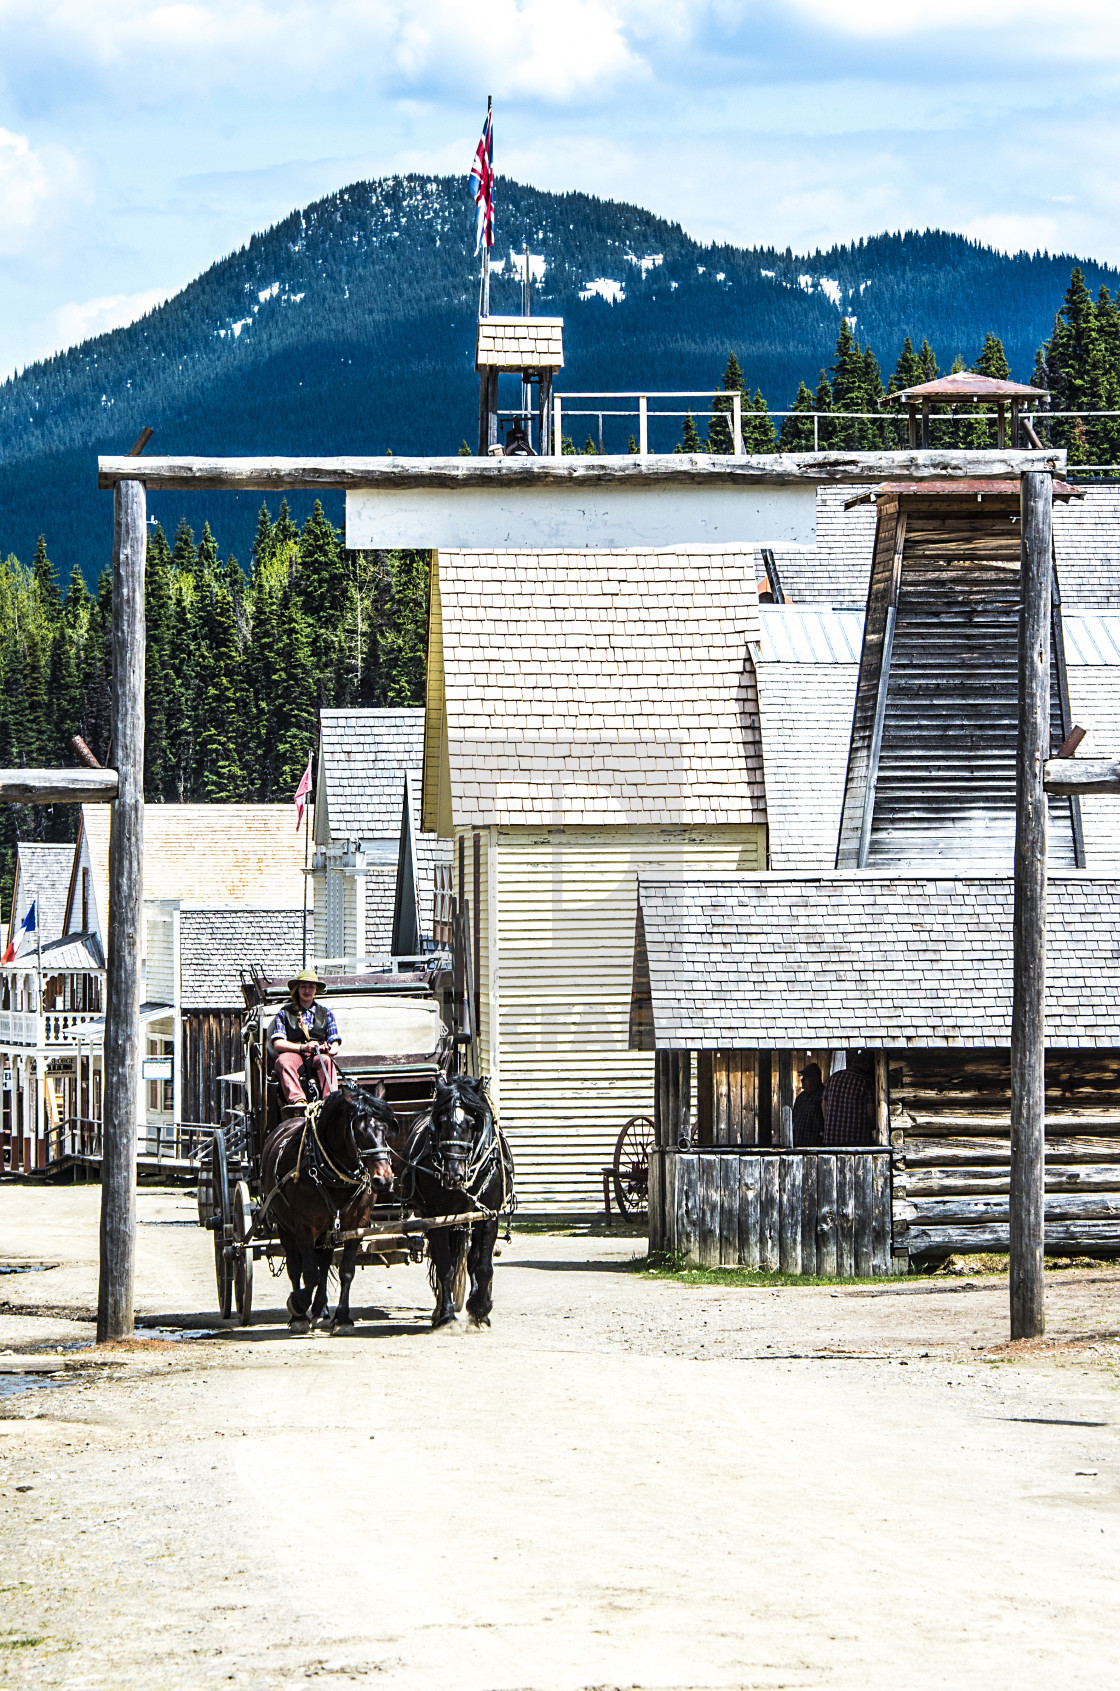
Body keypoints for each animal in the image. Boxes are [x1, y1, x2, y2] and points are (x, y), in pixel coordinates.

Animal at [260, 1082, 397, 1332]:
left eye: (386, 1129)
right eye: (359, 1132)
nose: (383, 1180)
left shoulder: (357, 1225)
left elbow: (345, 1271)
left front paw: (342, 1318)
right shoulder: (303, 1228)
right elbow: (309, 1273)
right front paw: (297, 1305)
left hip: (327, 1231)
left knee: (323, 1265)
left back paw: (321, 1310)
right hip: (285, 1227)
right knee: (295, 1267)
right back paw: (300, 1315)